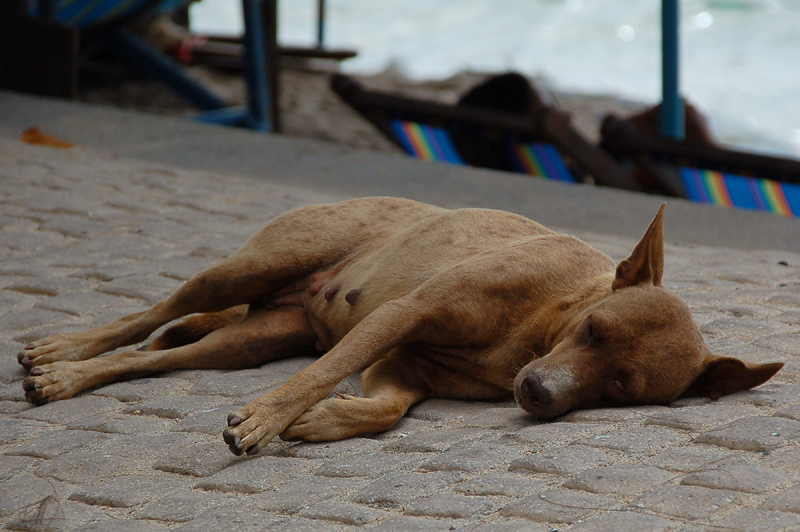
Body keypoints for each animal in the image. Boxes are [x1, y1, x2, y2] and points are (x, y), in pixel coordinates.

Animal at [17, 197, 780, 456]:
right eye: (592, 330)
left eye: (621, 388)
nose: (537, 393)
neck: (536, 327)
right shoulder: (401, 316)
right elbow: (322, 373)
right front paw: (269, 419)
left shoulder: (402, 368)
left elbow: (382, 410)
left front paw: (317, 421)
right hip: (250, 268)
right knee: (148, 317)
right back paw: (66, 350)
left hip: (249, 339)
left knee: (153, 358)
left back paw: (68, 377)